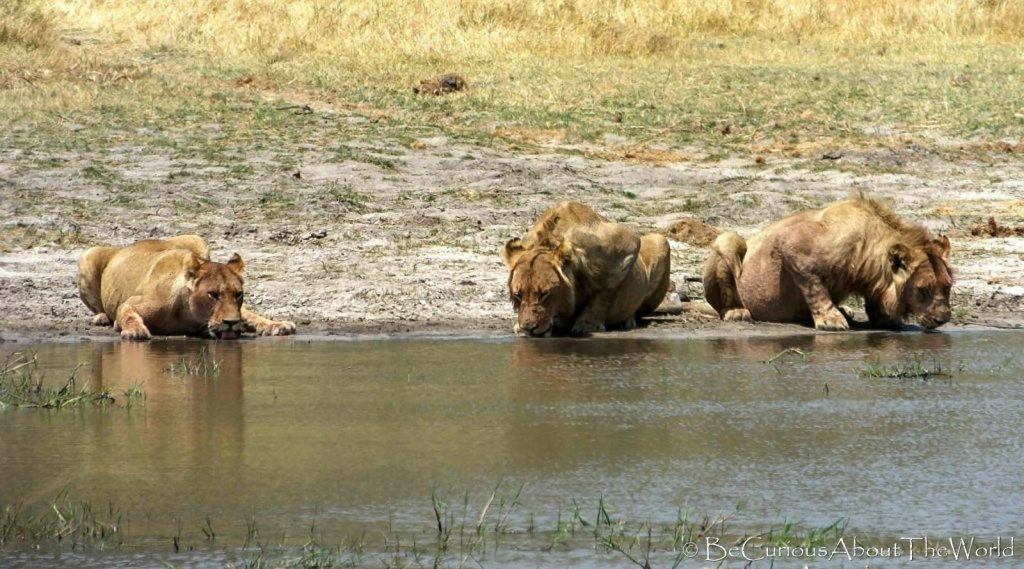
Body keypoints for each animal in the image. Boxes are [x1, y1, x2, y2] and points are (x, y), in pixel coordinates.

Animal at [76, 235, 296, 341]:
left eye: (238, 294)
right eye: (213, 295)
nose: (232, 323)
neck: (189, 313)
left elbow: (251, 315)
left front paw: (277, 325)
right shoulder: (129, 304)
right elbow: (128, 315)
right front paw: (136, 331)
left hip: (197, 239)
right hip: (87, 255)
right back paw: (101, 317)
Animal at [704, 194, 950, 329]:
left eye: (948, 287)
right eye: (923, 290)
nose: (943, 319)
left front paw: (884, 318)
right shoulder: (791, 243)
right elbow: (815, 288)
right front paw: (832, 320)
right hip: (728, 239)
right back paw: (736, 312)